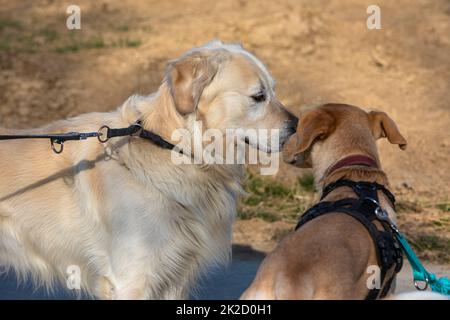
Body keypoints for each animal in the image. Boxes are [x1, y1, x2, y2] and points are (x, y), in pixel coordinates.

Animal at [0, 41, 298, 298]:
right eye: (258, 96)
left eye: (273, 90)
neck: (171, 149)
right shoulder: (132, 279)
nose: (296, 124)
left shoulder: (174, 277)